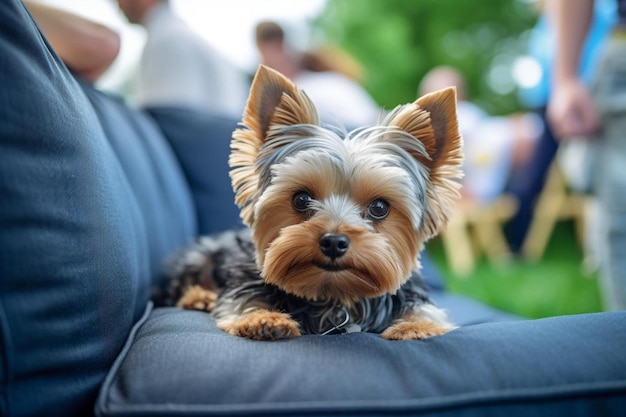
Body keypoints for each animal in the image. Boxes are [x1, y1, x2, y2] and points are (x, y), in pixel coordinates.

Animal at [161, 63, 464, 340]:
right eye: (301, 198)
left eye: (379, 208)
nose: (333, 242)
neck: (334, 297)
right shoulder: (242, 281)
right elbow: (243, 300)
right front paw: (263, 318)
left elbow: (424, 311)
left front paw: (417, 326)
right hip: (201, 255)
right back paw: (199, 297)